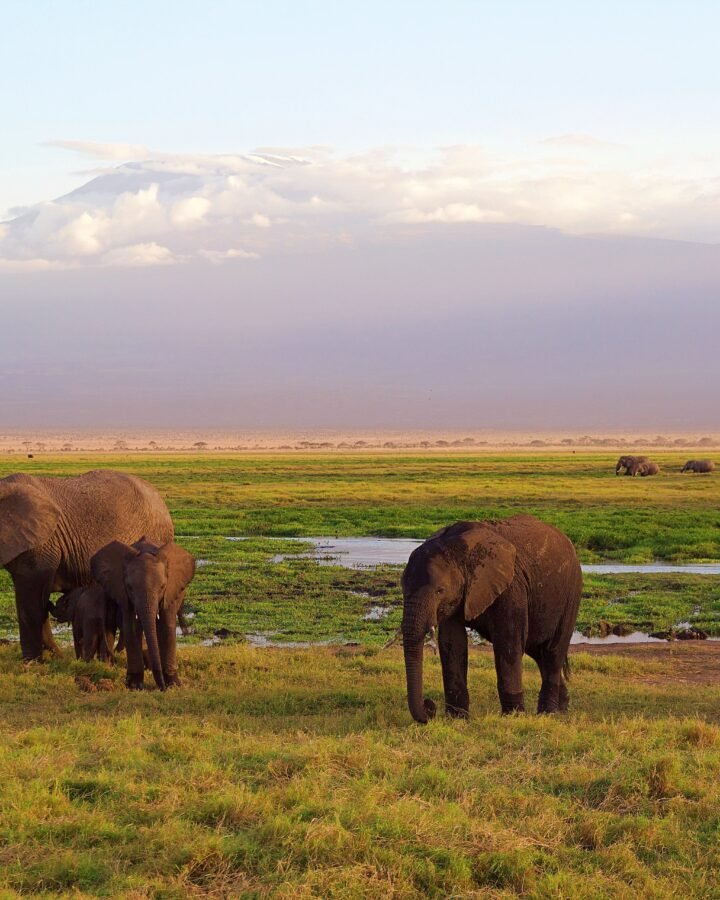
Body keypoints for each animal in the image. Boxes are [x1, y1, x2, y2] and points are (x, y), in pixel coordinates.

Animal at [91, 538, 195, 690]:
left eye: (162, 587)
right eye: (130, 588)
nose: (161, 688)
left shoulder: (170, 592)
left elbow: (167, 627)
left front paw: (173, 685)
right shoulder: (124, 594)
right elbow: (132, 628)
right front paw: (134, 686)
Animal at [401, 515, 582, 723]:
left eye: (440, 591)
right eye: (402, 587)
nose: (430, 706)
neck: (459, 548)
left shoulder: (511, 587)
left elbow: (508, 642)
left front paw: (513, 717)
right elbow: (452, 642)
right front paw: (457, 719)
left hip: (571, 593)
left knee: (553, 651)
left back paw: (548, 714)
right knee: (538, 652)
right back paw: (563, 709)